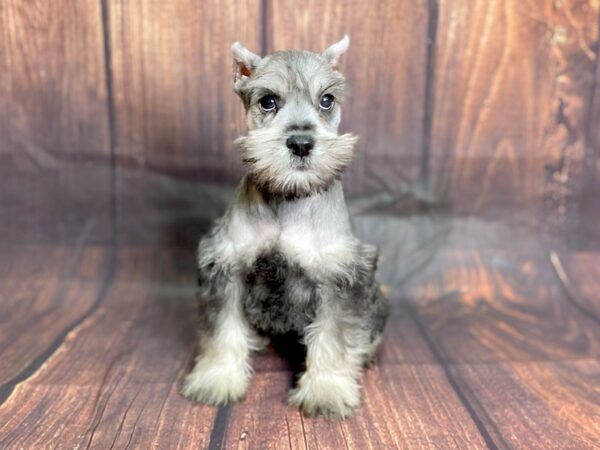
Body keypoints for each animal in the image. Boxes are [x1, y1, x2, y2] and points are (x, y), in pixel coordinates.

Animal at [183, 36, 390, 418]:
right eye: (268, 101)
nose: (301, 143)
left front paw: (326, 390)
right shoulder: (226, 266)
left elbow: (333, 338)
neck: (289, 195)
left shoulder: (341, 277)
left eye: (327, 99)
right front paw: (217, 378)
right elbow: (223, 329)